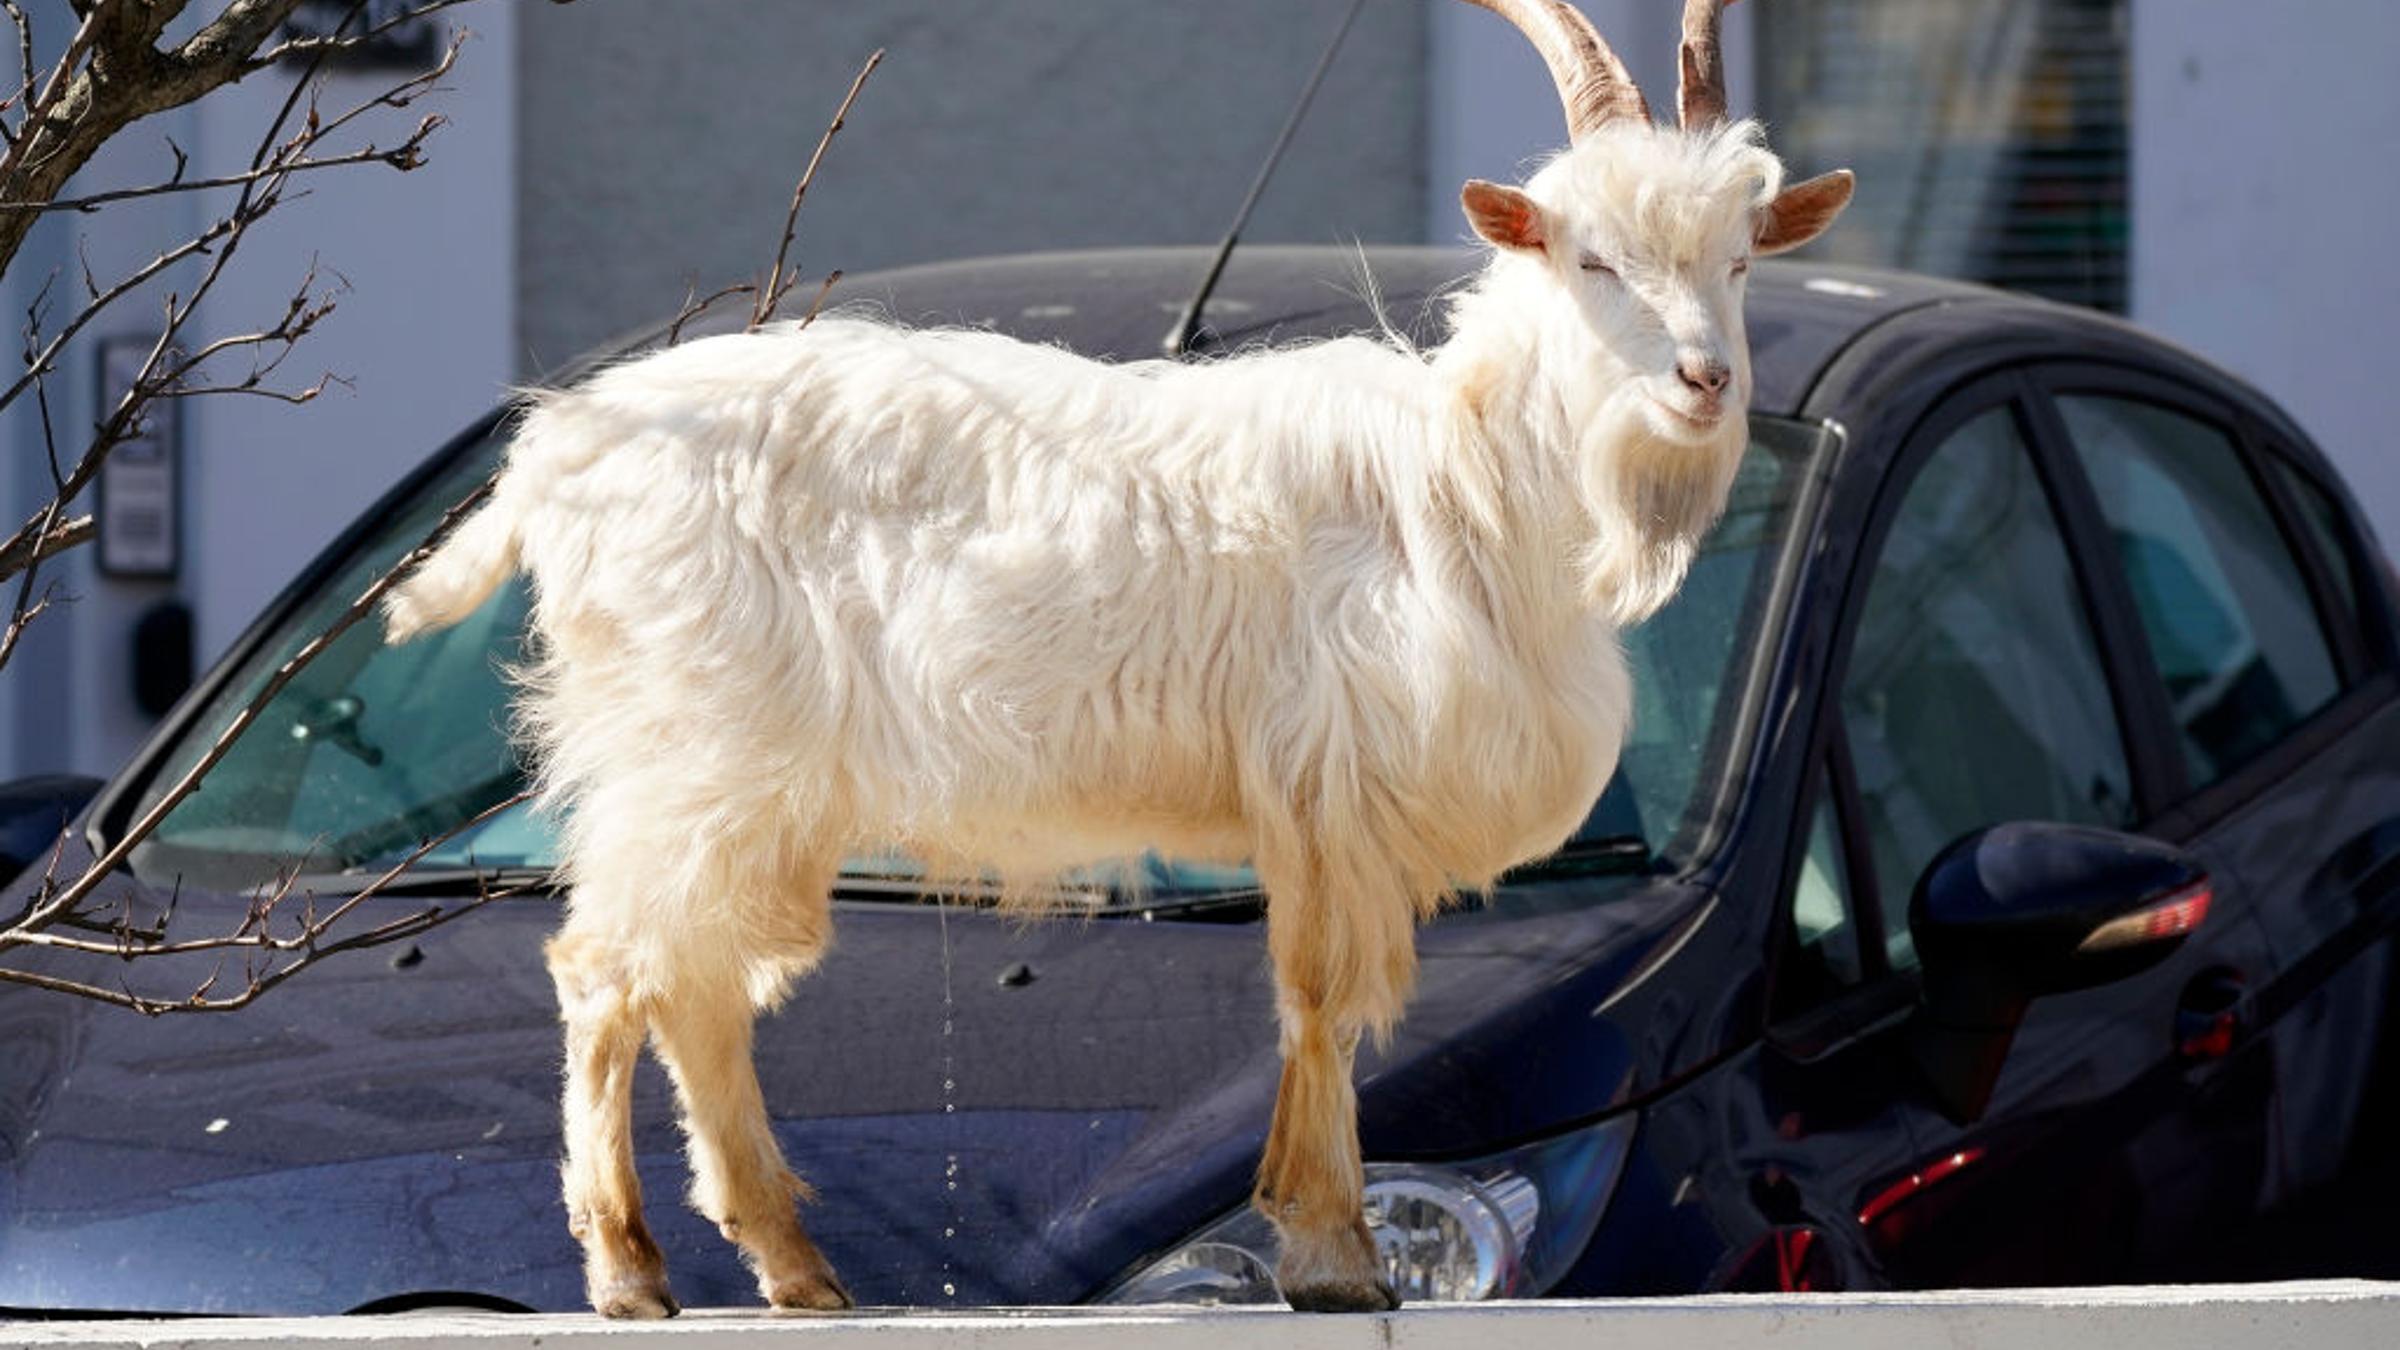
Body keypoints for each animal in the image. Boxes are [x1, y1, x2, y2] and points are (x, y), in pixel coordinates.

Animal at [383, 0, 1850, 1317]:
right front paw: (1333, 1252)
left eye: (1739, 258)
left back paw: (790, 1266)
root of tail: (556, 447)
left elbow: (1305, 1003)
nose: (1706, 379)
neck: (1472, 476)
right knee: (608, 967)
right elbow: (1322, 1000)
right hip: (696, 745)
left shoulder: (1312, 802)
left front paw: (1312, 1240)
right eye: (1589, 259)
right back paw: (630, 1269)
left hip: (754, 785)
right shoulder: (1332, 786)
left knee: (691, 983)